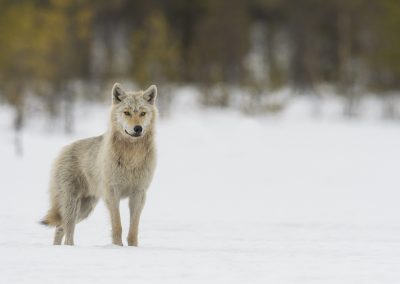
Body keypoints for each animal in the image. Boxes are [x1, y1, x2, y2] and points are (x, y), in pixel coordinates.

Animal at [41, 82, 158, 246]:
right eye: (127, 113)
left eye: (142, 113)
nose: (138, 128)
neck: (131, 156)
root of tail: (64, 149)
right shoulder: (112, 193)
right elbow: (117, 226)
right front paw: (117, 247)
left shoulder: (139, 194)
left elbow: (133, 230)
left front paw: (133, 248)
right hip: (73, 206)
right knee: (67, 233)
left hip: (85, 209)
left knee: (60, 228)